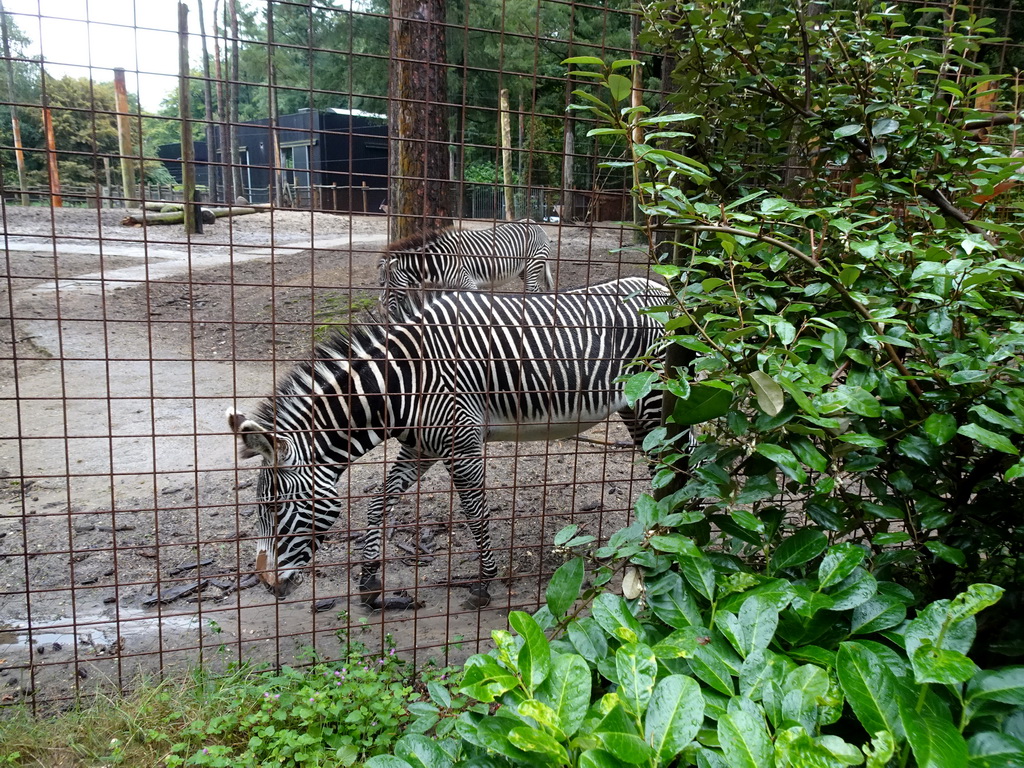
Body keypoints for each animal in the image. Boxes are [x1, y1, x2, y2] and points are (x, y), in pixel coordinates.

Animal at [227, 278, 667, 614]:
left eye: (277, 509)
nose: (267, 585)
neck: (404, 382)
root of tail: (661, 286)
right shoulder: (422, 448)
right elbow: (379, 501)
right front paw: (370, 581)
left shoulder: (462, 444)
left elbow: (475, 514)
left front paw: (484, 584)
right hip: (633, 406)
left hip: (654, 399)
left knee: (672, 464)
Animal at [376, 222, 552, 319]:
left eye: (383, 283)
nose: (382, 313)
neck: (441, 261)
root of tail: (535, 224)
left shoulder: (469, 284)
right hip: (524, 271)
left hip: (532, 266)